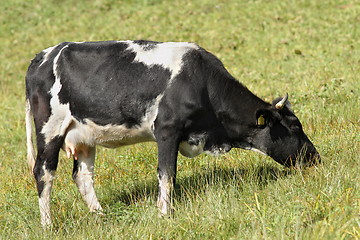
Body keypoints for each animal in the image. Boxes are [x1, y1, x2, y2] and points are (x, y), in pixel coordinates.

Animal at [25, 40, 320, 226]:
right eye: (295, 126)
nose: (315, 157)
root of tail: (42, 57)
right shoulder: (167, 130)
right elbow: (167, 174)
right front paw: (165, 213)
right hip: (49, 129)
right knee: (44, 172)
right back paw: (48, 224)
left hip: (84, 136)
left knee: (83, 175)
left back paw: (100, 216)